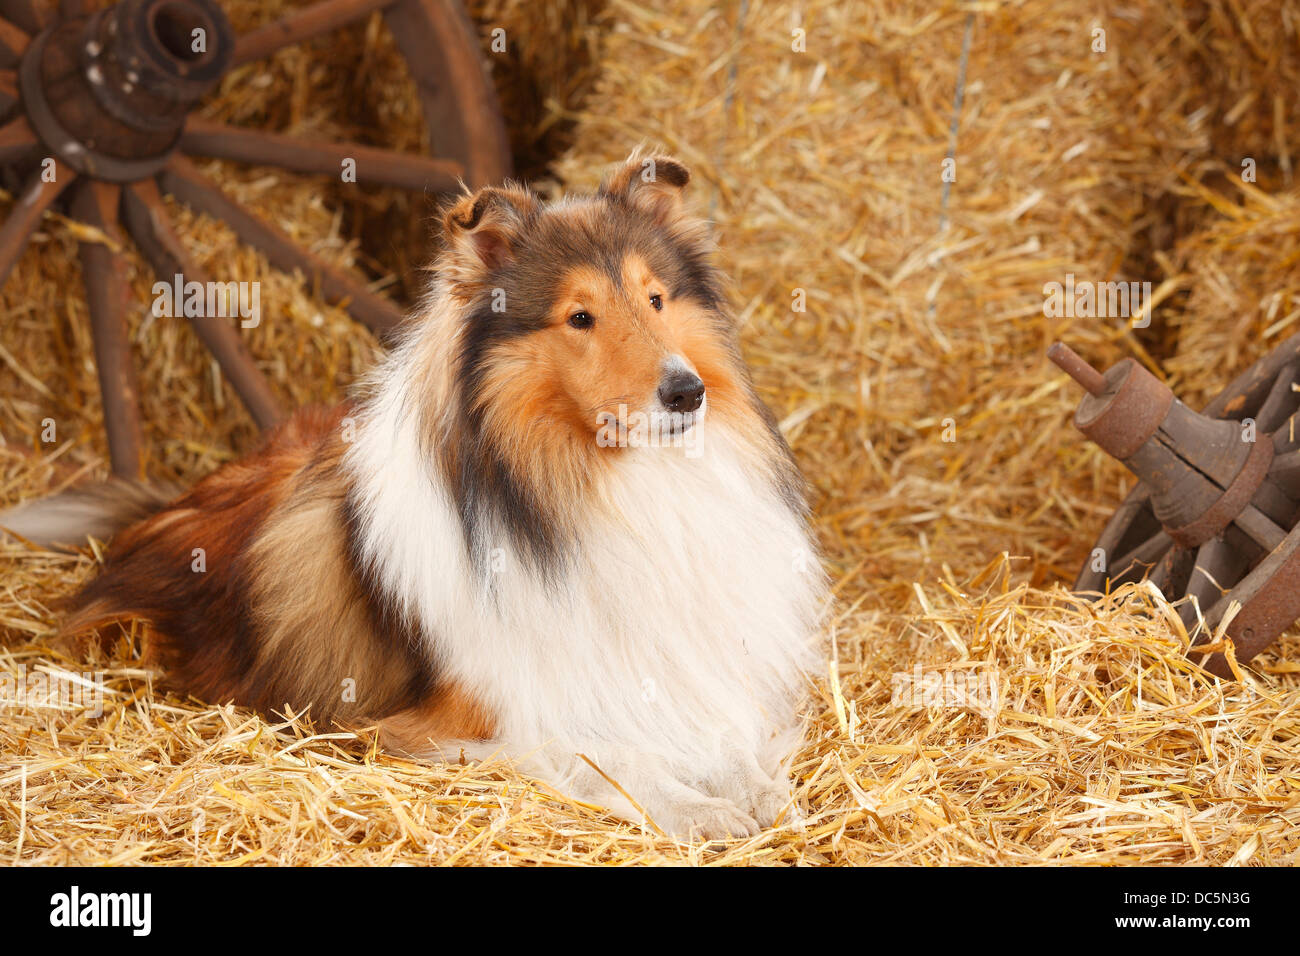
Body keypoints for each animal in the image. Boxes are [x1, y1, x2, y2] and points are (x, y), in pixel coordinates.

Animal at [5, 153, 826, 842]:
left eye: (656, 299)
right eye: (580, 316)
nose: (687, 393)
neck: (595, 486)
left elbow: (732, 733)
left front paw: (761, 790)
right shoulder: (462, 723)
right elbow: (612, 757)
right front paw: (703, 809)